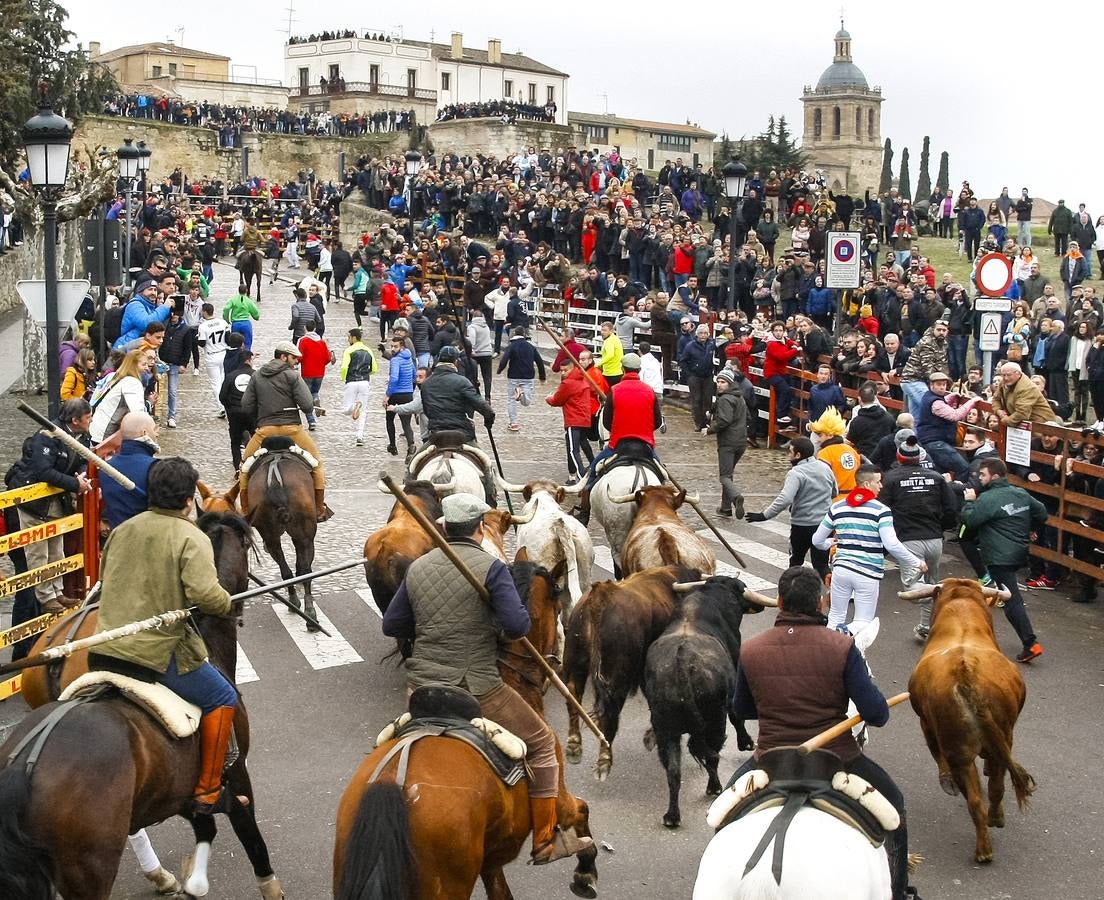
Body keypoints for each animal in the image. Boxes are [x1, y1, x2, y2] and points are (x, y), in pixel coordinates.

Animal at [0, 514, 289, 900]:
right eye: (246, 544)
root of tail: (24, 768)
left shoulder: (177, 791)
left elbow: (206, 827)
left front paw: (192, 879)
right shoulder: (236, 771)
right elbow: (249, 833)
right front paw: (268, 886)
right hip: (90, 866)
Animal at [245, 443, 320, 631]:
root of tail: (274, 479)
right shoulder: (303, 536)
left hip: (270, 536)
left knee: (285, 571)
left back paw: (296, 604)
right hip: (305, 535)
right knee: (306, 572)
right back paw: (309, 614)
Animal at [560, 563, 697, 781]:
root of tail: (601, 596)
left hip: (575, 661)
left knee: (573, 694)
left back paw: (574, 746)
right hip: (616, 676)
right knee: (610, 713)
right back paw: (604, 762)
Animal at [640, 578, 777, 826]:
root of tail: (682, 662)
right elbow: (737, 716)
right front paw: (746, 742)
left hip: (665, 729)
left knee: (673, 770)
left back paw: (671, 816)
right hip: (714, 720)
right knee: (712, 754)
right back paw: (715, 788)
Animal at [896, 578, 1033, 865]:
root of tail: (965, 672)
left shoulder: (925, 723)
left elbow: (936, 755)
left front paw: (946, 781)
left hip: (959, 749)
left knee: (978, 795)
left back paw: (985, 843)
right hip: (998, 741)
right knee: (992, 790)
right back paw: (991, 830)